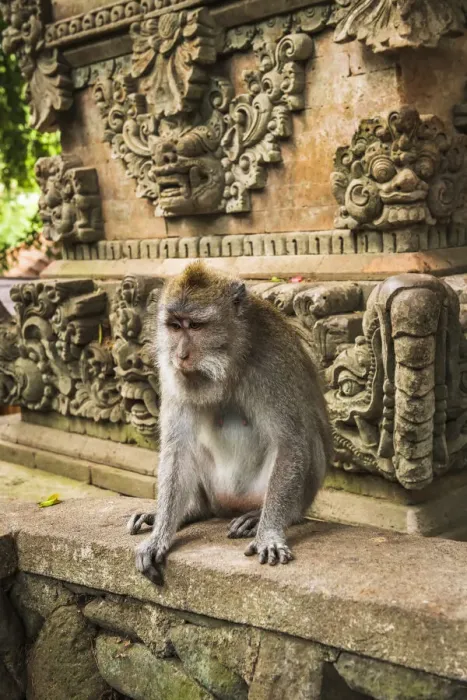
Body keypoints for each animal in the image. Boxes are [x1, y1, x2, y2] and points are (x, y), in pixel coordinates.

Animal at [128, 262, 333, 584]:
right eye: (174, 326)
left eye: (195, 326)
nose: (181, 355)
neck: (229, 362)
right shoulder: (173, 376)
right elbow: (177, 448)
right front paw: (159, 536)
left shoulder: (272, 364)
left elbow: (290, 443)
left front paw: (269, 533)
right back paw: (191, 511)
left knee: (306, 438)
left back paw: (262, 517)